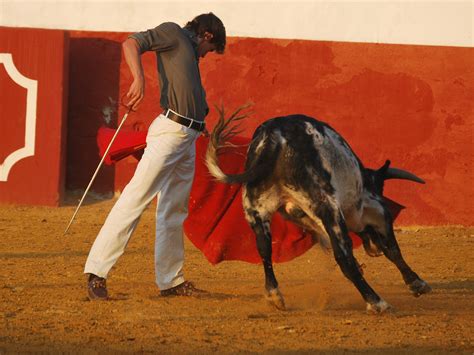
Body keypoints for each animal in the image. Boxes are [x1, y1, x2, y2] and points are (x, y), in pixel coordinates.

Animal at [206, 108, 432, 314]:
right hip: (327, 204)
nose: (372, 249)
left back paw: (274, 296)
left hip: (256, 210)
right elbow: (392, 249)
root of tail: (274, 136)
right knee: (343, 255)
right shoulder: (374, 210)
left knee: (264, 249)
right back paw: (377, 302)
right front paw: (416, 283)